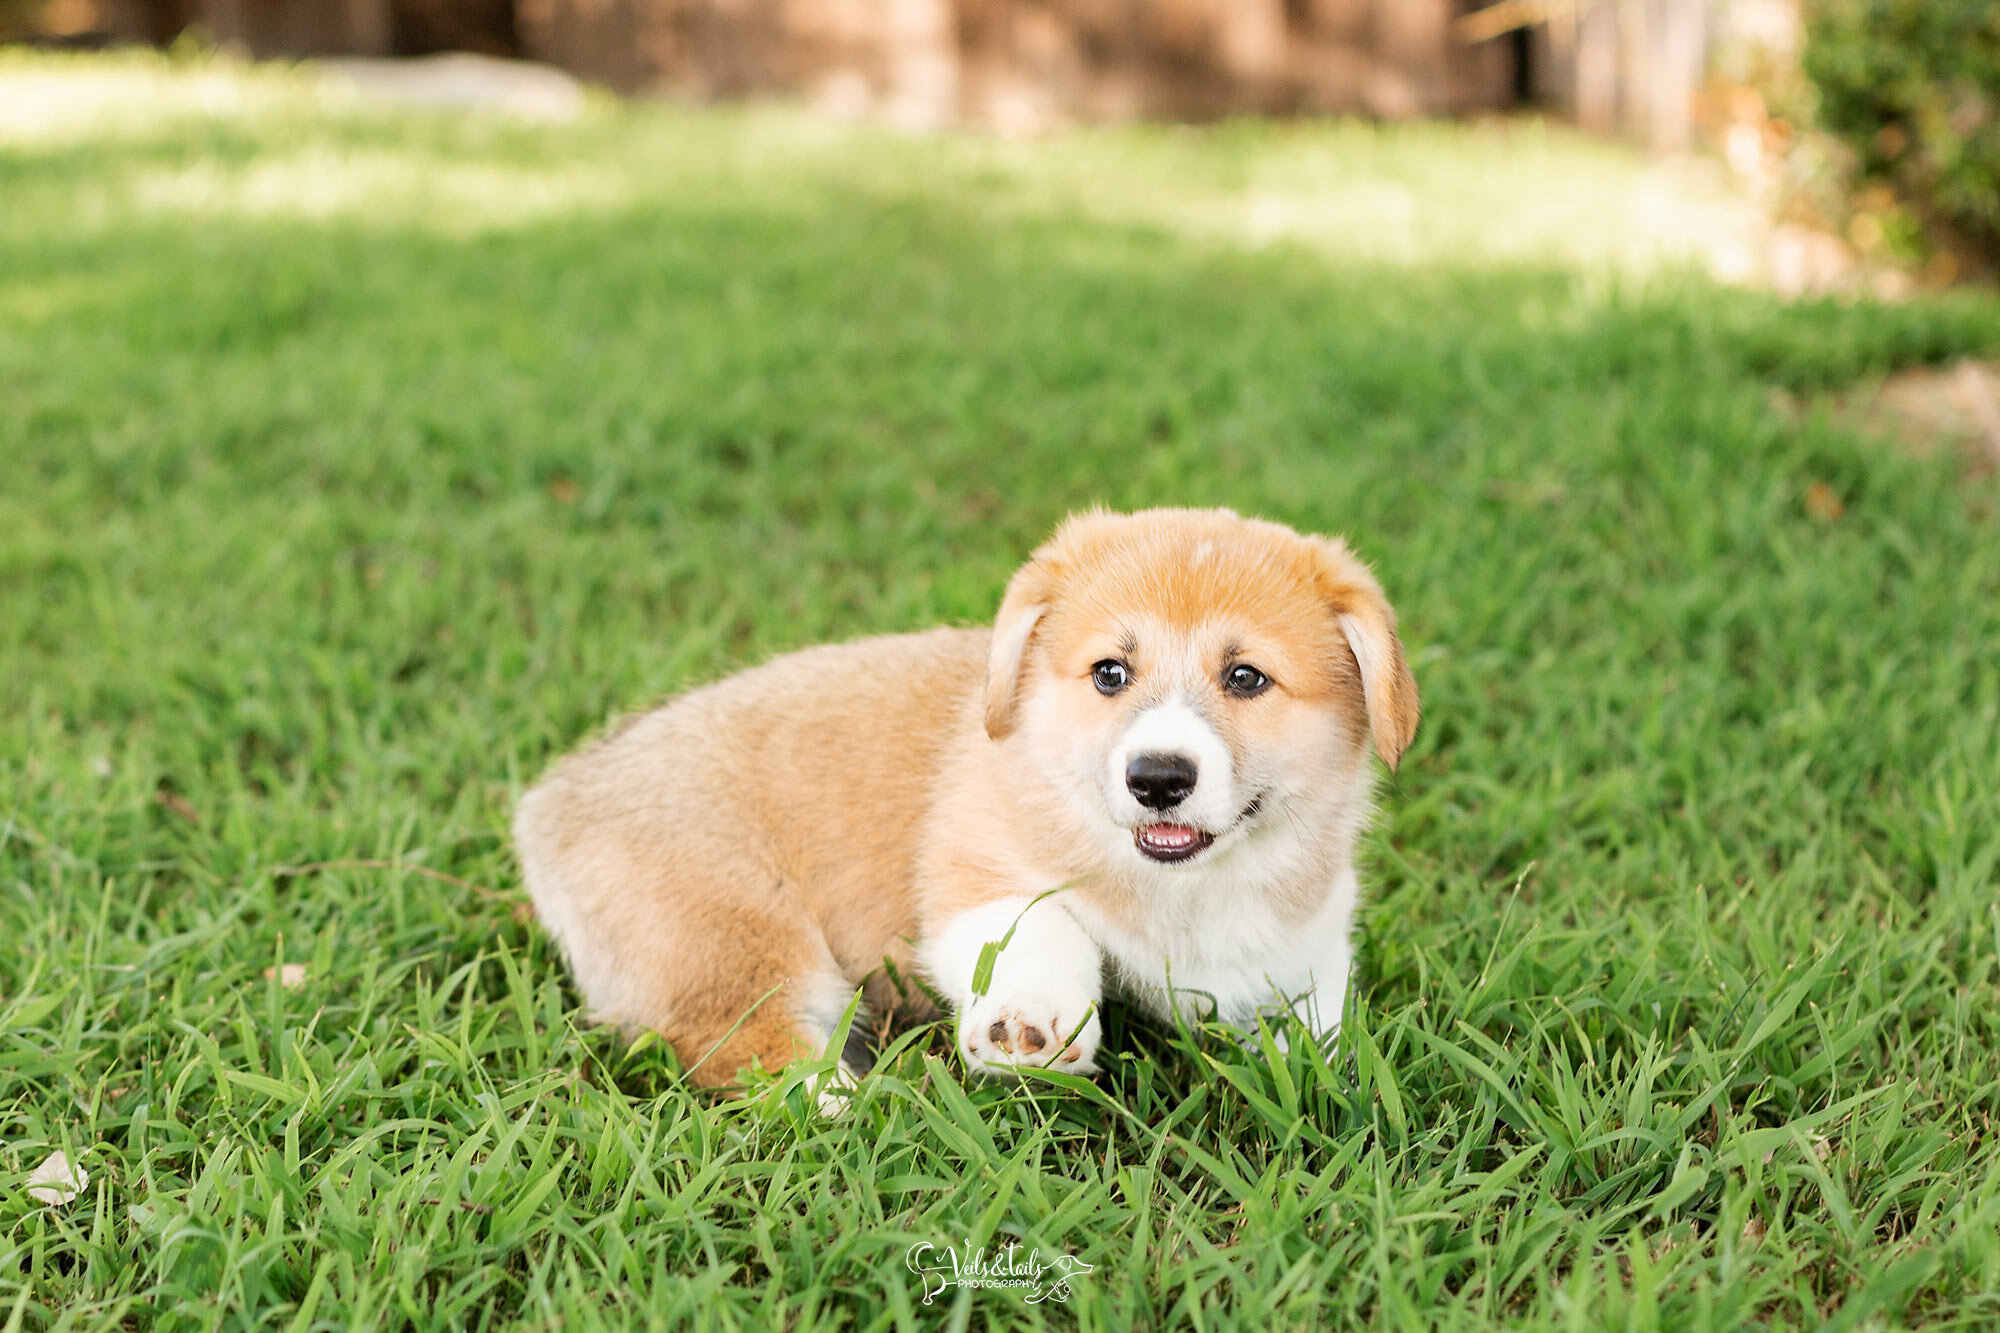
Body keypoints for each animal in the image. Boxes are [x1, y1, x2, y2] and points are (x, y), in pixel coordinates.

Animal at [516, 506, 1424, 1080]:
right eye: (1110, 673)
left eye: (1246, 678)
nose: (1158, 778)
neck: (1174, 887)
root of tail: (551, 805)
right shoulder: (979, 864)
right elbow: (1035, 931)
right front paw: (1029, 1024)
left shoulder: (1299, 935)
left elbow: (1315, 1003)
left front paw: (1318, 1074)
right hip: (737, 937)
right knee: (735, 1043)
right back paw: (844, 1103)